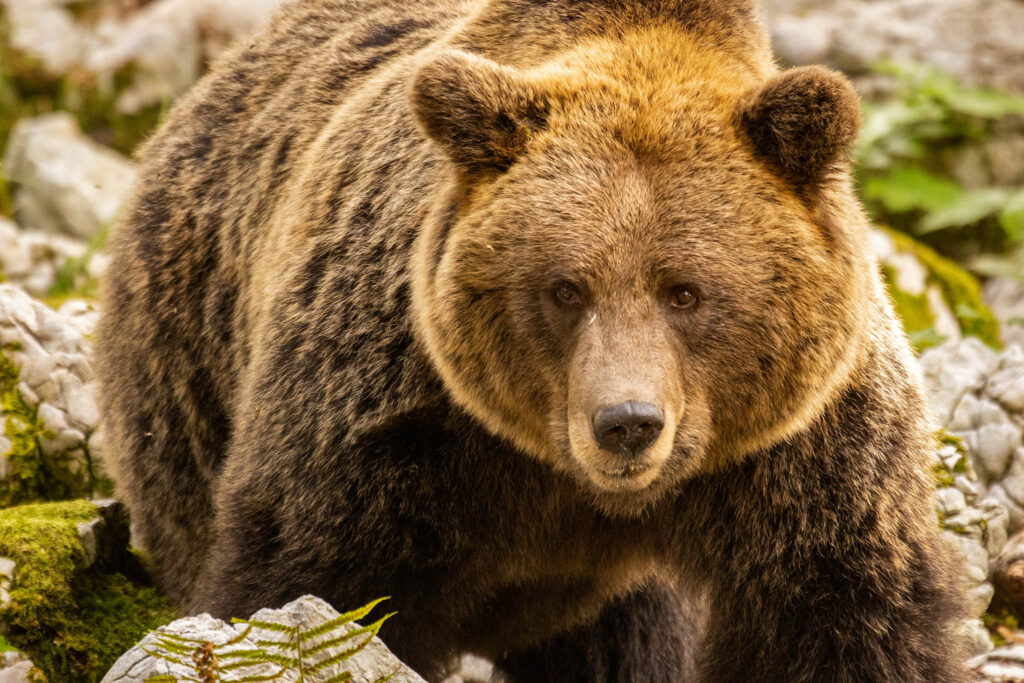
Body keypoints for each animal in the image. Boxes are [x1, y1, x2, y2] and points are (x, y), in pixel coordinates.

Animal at [99, 0, 970, 679]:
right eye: (565, 289)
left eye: (686, 291)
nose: (627, 422)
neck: (576, 487)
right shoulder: (393, 414)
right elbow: (309, 580)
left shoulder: (802, 451)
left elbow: (838, 614)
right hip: (185, 371)